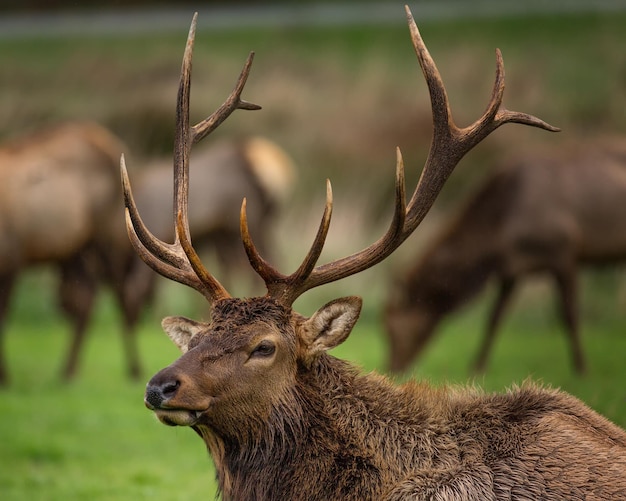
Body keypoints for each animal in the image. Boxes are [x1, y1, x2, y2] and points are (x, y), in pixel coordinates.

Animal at [382, 139, 624, 374]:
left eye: (392, 329)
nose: (393, 367)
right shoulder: (511, 268)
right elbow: (494, 318)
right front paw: (477, 367)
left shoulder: (565, 252)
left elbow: (569, 315)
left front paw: (582, 367)